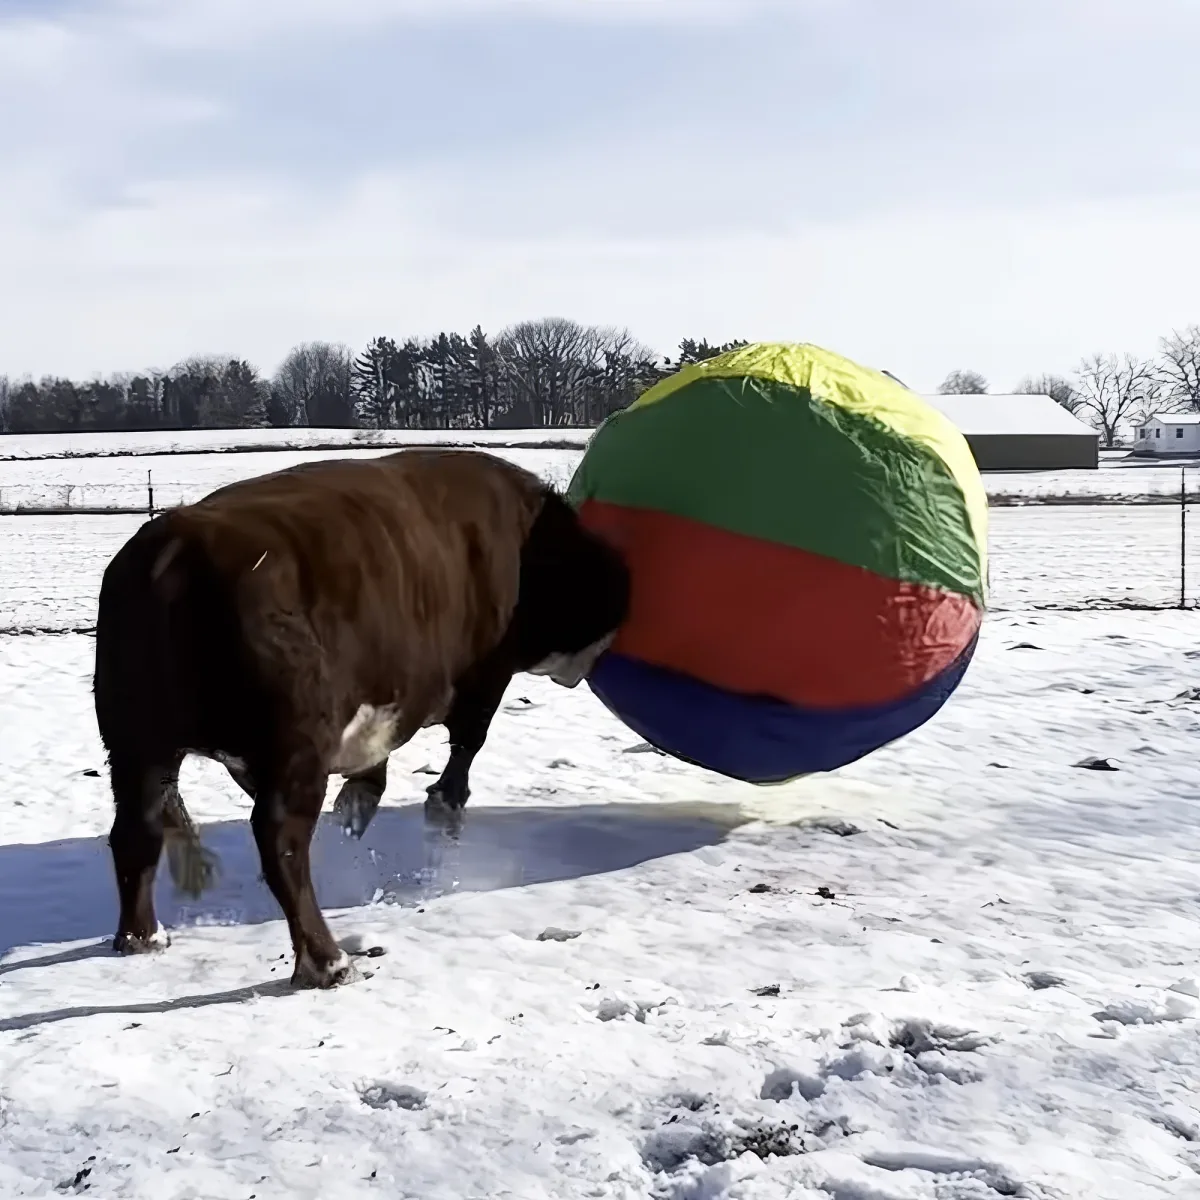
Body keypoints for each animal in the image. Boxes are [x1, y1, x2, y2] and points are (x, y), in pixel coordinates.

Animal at [92, 449, 630, 988]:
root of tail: (173, 550)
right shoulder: (485, 678)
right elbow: (466, 747)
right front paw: (441, 808)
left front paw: (359, 803)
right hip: (293, 748)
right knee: (281, 843)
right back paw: (327, 961)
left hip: (136, 746)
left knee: (136, 831)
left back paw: (142, 936)